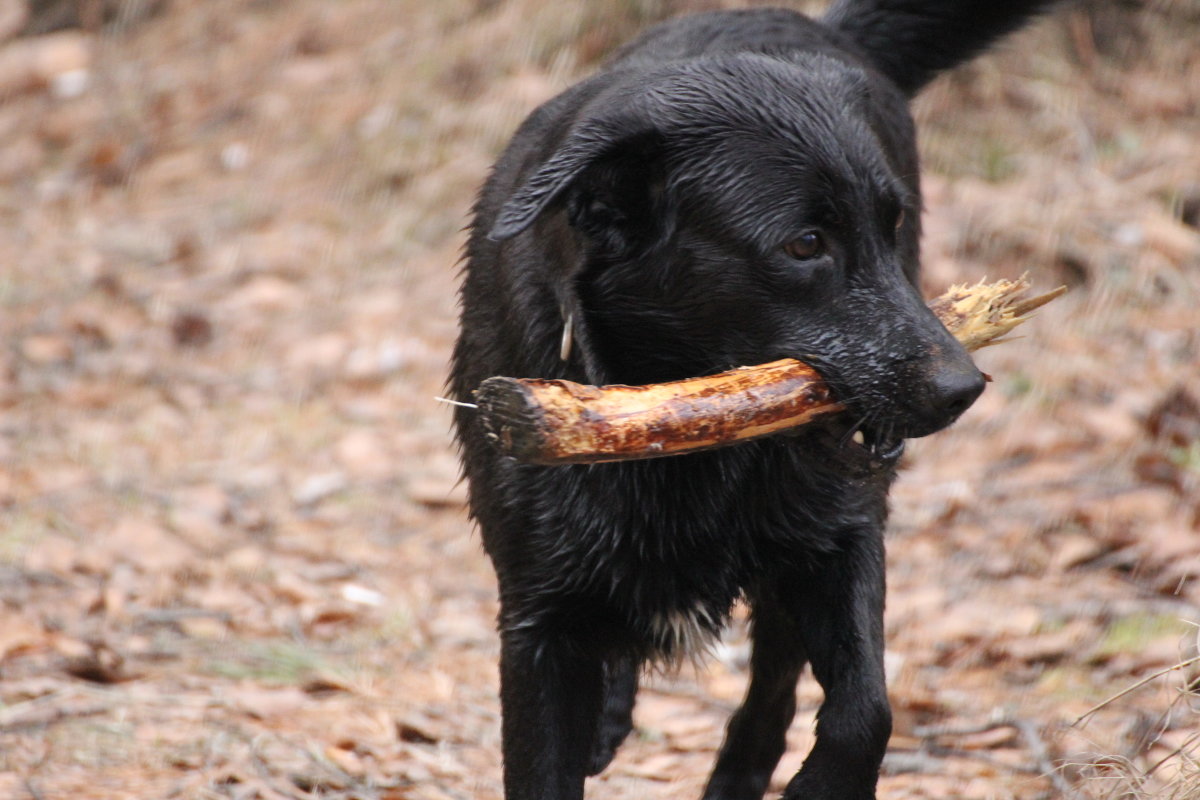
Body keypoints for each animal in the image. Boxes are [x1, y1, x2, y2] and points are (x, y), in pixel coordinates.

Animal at [453, 3, 1056, 796]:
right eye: (804, 244)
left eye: (891, 227)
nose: (961, 389)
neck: (679, 433)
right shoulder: (537, 618)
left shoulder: (842, 532)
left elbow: (866, 710)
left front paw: (823, 785)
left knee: (773, 684)